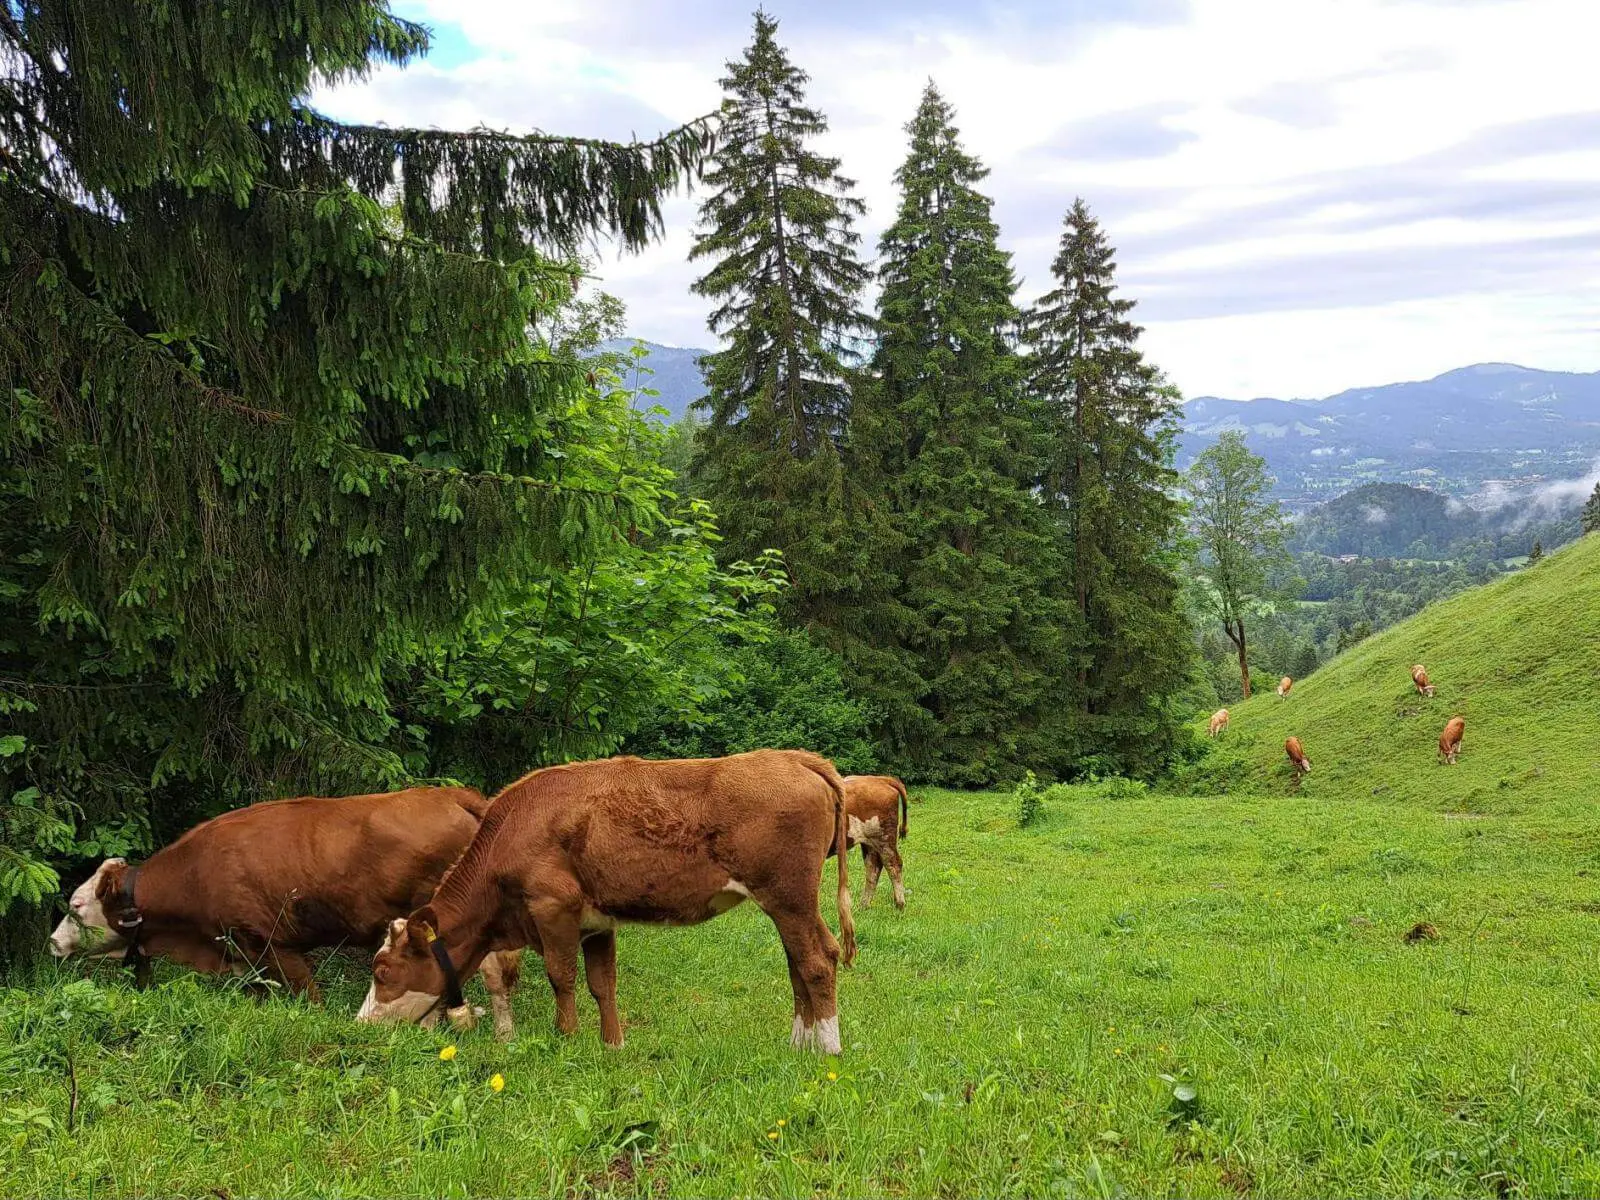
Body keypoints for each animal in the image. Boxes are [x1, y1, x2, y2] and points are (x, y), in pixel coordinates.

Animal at [48, 788, 524, 1036]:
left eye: (75, 906)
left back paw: (497, 1034)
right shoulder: (243, 955)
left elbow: (309, 998)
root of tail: (447, 793)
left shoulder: (272, 945)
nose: (52, 942)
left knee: (491, 974)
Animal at [357, 750, 857, 1054]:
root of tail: (793, 757)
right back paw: (799, 1043)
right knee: (797, 961)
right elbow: (603, 983)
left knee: (816, 959)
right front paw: (611, 1046)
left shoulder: (551, 907)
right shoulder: (597, 921)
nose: (362, 1023)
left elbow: (562, 977)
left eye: (382, 971)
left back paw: (828, 1050)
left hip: (789, 894)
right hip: (786, 902)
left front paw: (566, 1040)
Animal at [838, 775, 910, 910]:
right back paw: (864, 905)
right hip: (869, 841)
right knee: (873, 866)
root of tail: (880, 779)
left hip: (884, 838)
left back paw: (900, 904)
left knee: (893, 864)